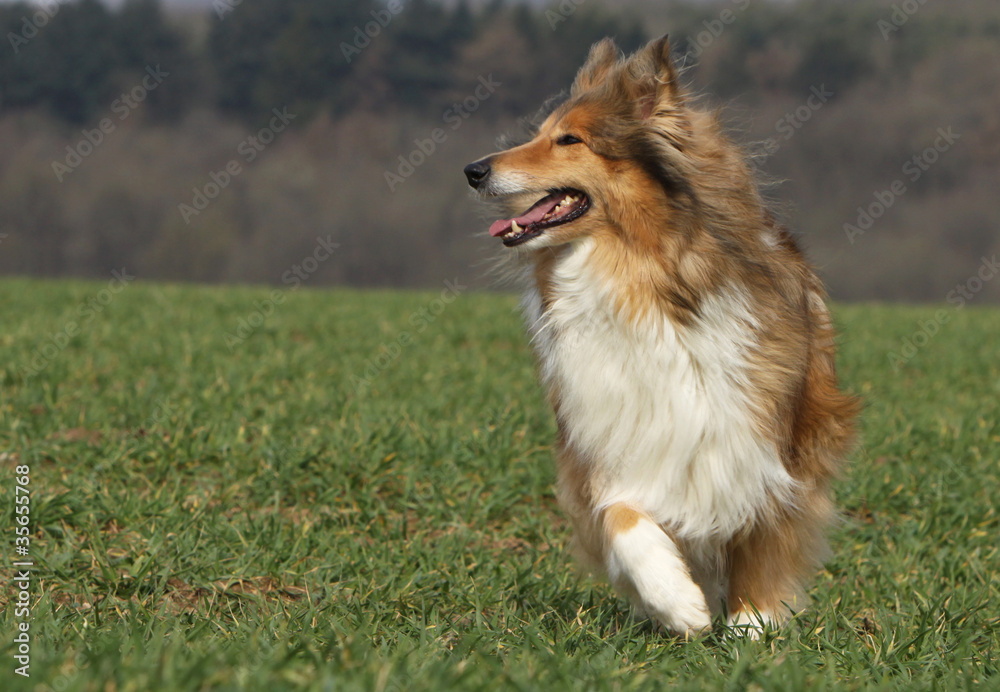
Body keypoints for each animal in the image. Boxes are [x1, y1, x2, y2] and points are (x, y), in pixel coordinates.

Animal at [462, 35, 860, 636]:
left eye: (570, 139)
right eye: (541, 133)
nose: (473, 169)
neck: (637, 277)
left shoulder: (756, 434)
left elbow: (763, 529)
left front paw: (752, 622)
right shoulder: (605, 436)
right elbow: (621, 515)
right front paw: (676, 602)